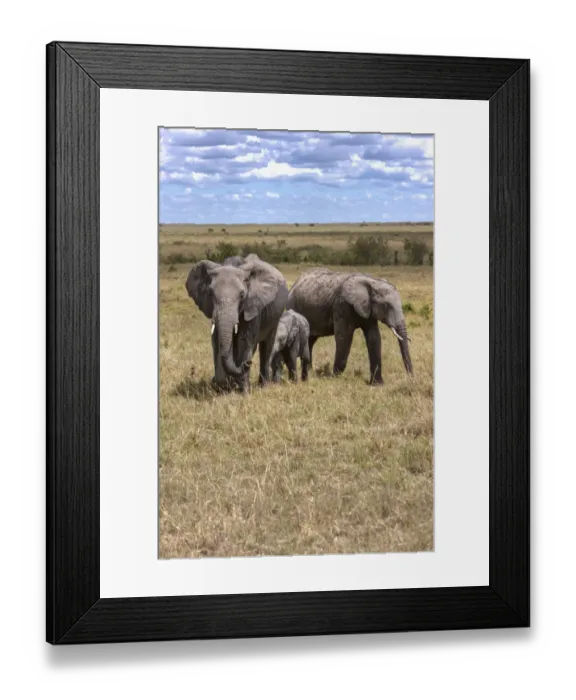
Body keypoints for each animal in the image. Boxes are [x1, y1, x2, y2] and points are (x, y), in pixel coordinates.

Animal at [185, 254, 289, 391]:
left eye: (242, 295)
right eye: (210, 294)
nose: (248, 363)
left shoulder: (252, 305)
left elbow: (243, 341)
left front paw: (243, 391)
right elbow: (216, 341)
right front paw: (223, 386)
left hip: (275, 318)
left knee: (267, 346)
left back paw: (263, 386)